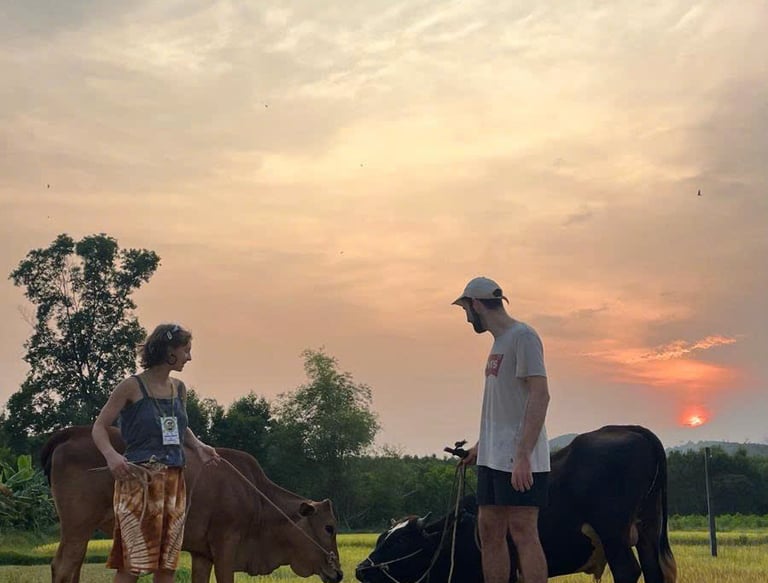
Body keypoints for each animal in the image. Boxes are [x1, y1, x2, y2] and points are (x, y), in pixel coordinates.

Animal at [41, 425, 344, 583]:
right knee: (64, 566)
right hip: (77, 525)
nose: (339, 572)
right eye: (329, 527)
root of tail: (72, 432)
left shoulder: (202, 554)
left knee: (74, 566)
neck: (257, 500)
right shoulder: (226, 545)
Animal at [356, 425, 677, 583]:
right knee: (654, 572)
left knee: (627, 572)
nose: (361, 570)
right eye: (381, 538)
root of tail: (634, 431)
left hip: (613, 534)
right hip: (648, 530)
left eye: (400, 542)